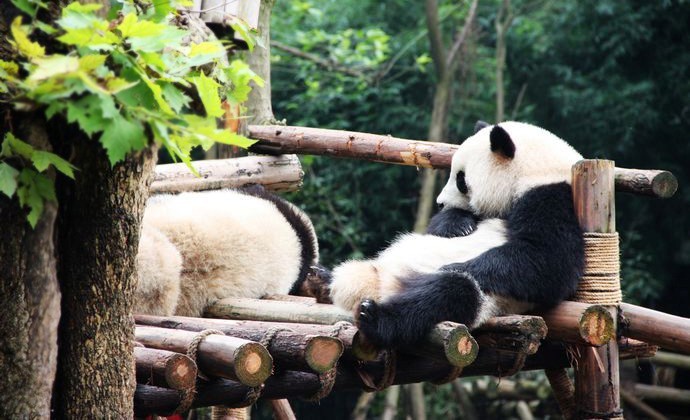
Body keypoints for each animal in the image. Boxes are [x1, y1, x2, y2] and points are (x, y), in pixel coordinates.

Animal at [328, 120, 580, 348]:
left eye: (461, 179)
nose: (439, 203)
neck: (533, 172)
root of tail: (384, 286)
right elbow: (438, 228)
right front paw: (458, 224)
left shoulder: (554, 199)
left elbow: (546, 262)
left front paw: (454, 266)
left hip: (487, 300)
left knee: (449, 294)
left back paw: (373, 317)